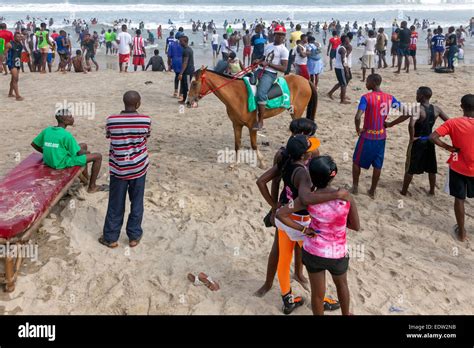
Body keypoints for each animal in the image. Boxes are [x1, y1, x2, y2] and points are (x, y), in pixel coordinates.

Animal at [187, 68, 316, 167]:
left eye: (194, 83)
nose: (188, 102)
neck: (237, 95)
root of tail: (305, 80)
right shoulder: (236, 124)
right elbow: (237, 144)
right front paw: (235, 163)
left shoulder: (252, 125)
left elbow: (253, 145)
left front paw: (262, 162)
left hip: (296, 113)